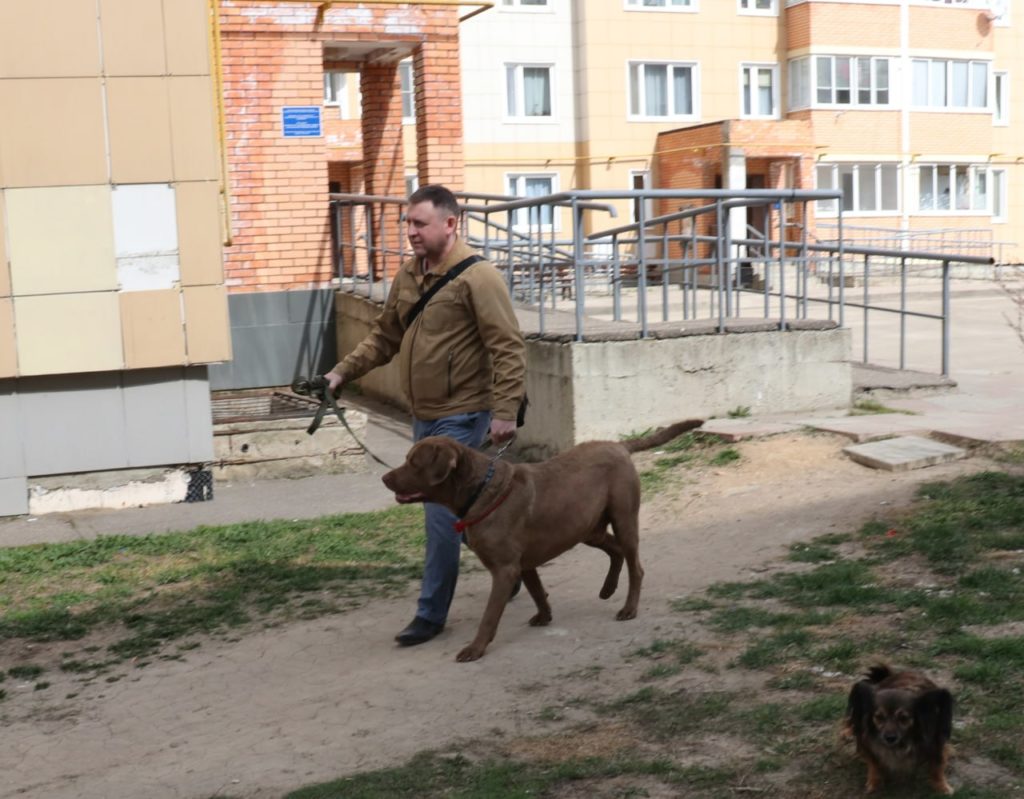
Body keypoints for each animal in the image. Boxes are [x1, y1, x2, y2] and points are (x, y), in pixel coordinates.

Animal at [382, 417, 704, 659]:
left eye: (413, 462)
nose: (385, 478)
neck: (480, 490)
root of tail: (618, 445)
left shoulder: (505, 568)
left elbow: (490, 615)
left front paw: (475, 648)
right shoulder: (523, 564)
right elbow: (537, 591)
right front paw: (545, 615)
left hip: (623, 518)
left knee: (635, 565)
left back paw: (628, 608)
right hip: (587, 527)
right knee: (615, 550)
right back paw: (607, 589)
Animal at [843, 663, 954, 794]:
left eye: (904, 718)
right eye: (879, 717)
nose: (890, 738)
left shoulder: (935, 742)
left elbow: (937, 767)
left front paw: (942, 786)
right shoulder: (867, 739)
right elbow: (874, 764)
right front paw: (874, 782)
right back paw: (847, 732)